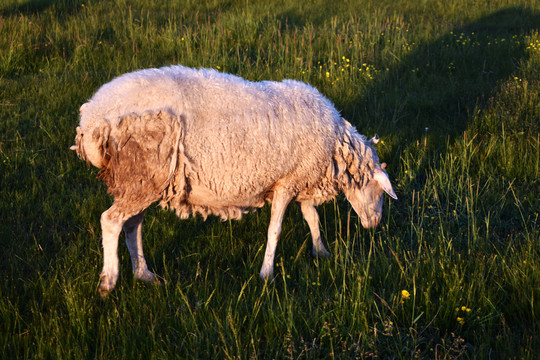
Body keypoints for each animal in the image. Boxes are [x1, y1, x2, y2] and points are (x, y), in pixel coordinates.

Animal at [73, 64, 396, 296]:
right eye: (380, 191)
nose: (375, 225)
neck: (333, 149)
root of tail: (90, 117)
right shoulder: (286, 183)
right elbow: (275, 231)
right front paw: (266, 275)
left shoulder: (300, 178)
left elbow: (311, 217)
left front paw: (321, 252)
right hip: (141, 168)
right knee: (111, 220)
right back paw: (109, 282)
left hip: (144, 178)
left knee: (131, 225)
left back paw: (144, 275)